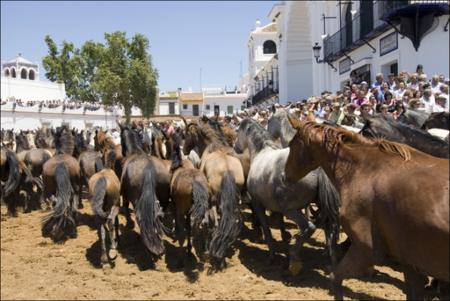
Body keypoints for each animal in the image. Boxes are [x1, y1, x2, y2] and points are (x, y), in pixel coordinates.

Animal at [284, 118, 448, 298]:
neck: (365, 170)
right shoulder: (411, 263)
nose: (285, 176)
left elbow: (335, 278)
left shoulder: (367, 250)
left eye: (291, 144)